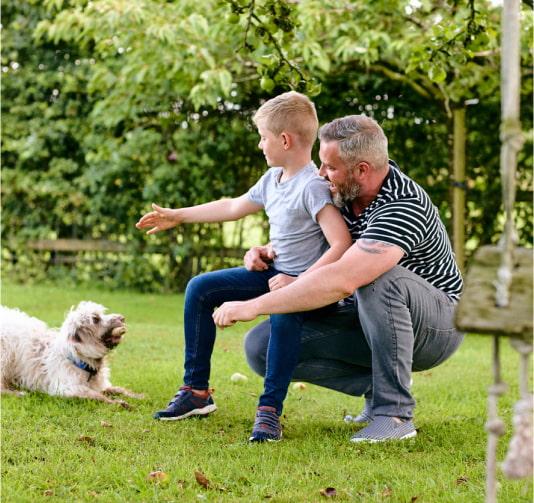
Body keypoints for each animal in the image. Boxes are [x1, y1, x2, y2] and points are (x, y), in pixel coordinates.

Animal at [0, 302, 142, 408]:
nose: (122, 318)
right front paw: (117, 403)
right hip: (5, 355)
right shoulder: (67, 388)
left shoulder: (100, 385)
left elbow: (117, 389)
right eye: (95, 319)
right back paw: (17, 393)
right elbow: (97, 396)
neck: (80, 360)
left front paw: (136, 395)